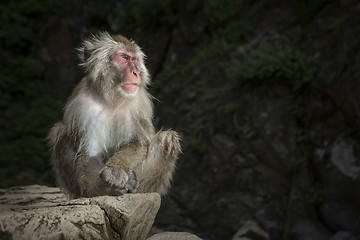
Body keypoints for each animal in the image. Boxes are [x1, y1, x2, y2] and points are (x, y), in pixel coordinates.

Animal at [48, 31, 180, 199]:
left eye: (134, 59)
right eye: (123, 57)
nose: (135, 72)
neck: (112, 99)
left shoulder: (140, 104)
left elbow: (137, 143)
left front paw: (115, 170)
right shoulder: (82, 105)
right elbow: (89, 153)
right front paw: (101, 189)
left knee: (167, 138)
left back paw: (134, 183)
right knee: (61, 132)